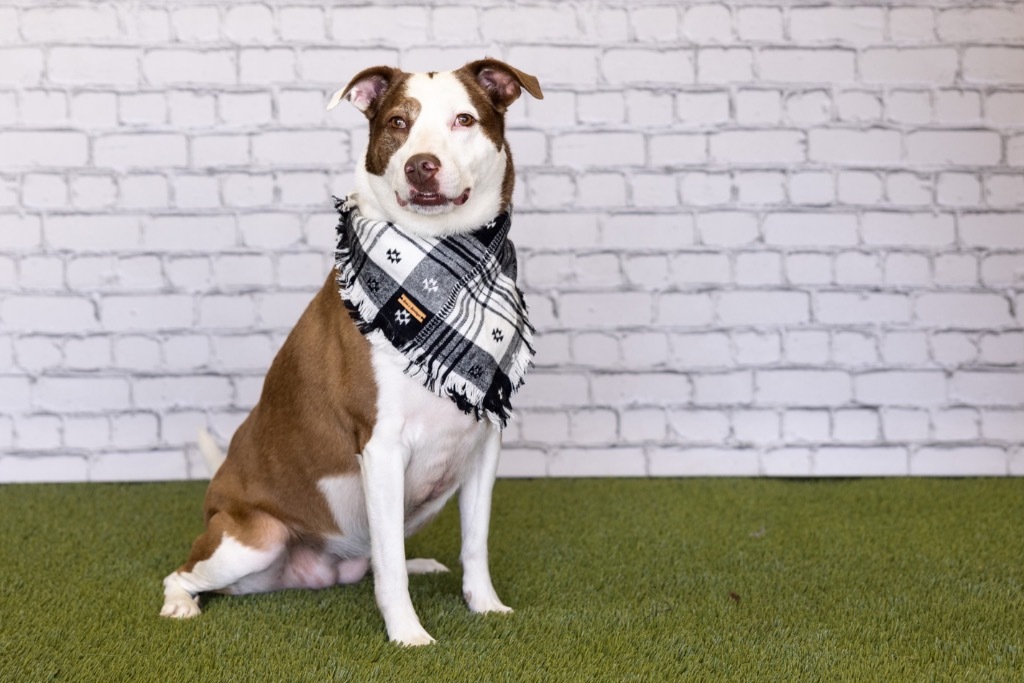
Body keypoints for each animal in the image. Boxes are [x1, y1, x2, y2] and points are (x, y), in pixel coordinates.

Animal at [160, 59, 542, 646]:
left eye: (464, 119)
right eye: (398, 123)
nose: (421, 166)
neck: (438, 272)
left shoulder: (483, 445)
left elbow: (473, 545)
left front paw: (486, 606)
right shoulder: (381, 447)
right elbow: (389, 566)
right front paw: (408, 634)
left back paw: (421, 563)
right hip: (253, 540)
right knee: (180, 573)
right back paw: (180, 603)